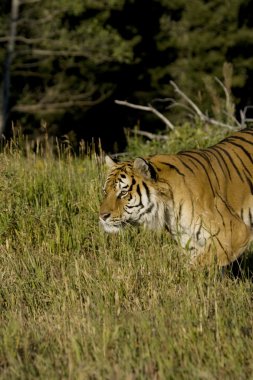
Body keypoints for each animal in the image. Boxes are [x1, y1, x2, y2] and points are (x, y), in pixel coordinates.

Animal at [99, 129, 253, 266]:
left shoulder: (235, 232)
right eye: (105, 192)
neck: (168, 210)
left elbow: (198, 265)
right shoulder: (189, 242)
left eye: (123, 193)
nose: (102, 216)